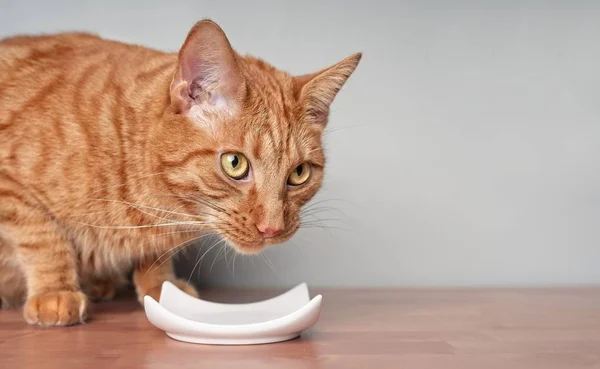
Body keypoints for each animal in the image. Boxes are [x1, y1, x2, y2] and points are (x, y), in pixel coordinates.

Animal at [0, 20, 360, 324]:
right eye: (235, 163)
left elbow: (156, 256)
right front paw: (55, 292)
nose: (272, 229)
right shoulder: (11, 189)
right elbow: (44, 240)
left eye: (299, 173)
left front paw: (162, 285)